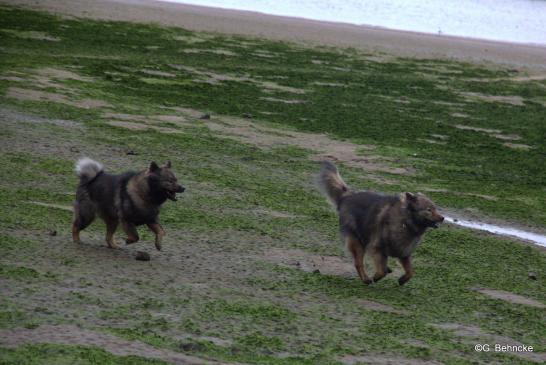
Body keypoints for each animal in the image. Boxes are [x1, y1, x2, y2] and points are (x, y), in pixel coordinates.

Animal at [314, 161, 442, 284]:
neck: (406, 222)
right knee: (358, 263)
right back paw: (365, 279)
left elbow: (410, 272)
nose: (442, 218)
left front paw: (402, 279)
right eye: (429, 210)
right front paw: (376, 277)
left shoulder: (404, 254)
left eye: (435, 208)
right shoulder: (377, 249)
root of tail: (347, 196)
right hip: (357, 243)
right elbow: (381, 271)